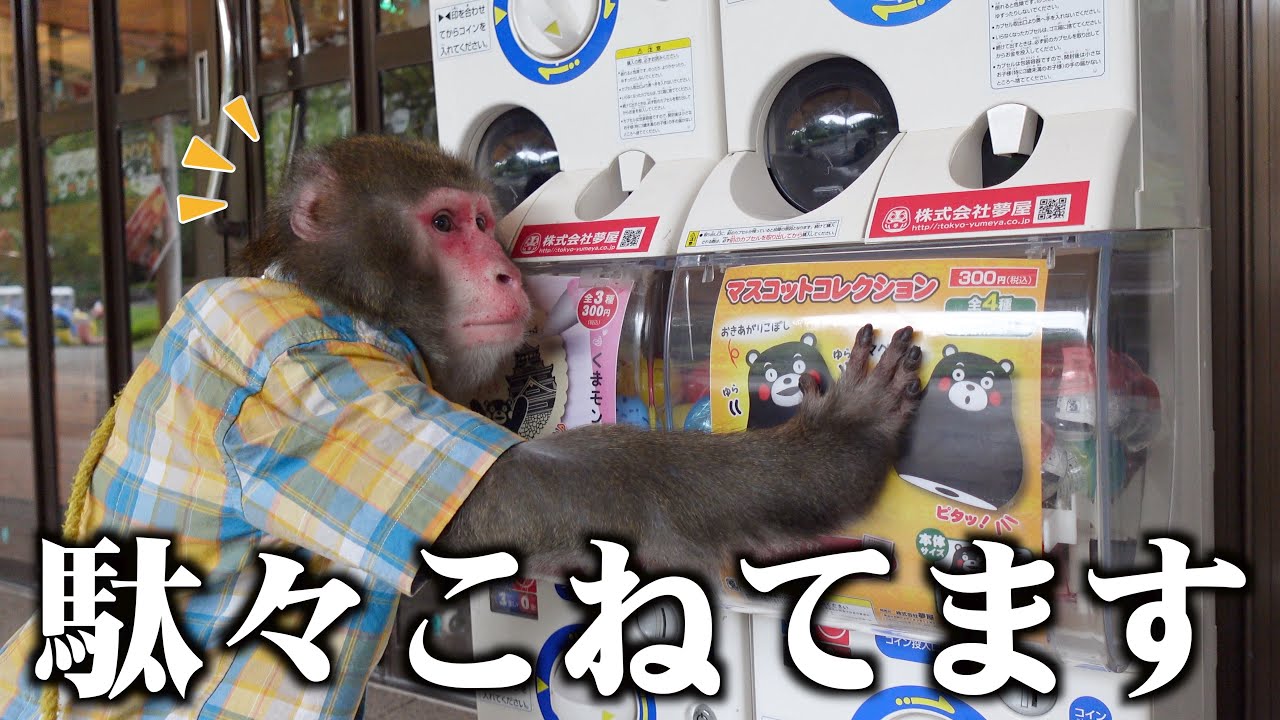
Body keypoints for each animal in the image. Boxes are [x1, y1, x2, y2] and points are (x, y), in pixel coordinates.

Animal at [0, 135, 923, 719]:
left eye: (484, 220)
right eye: (445, 225)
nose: (508, 271)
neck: (339, 296)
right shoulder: (299, 381)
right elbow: (533, 488)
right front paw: (835, 448)